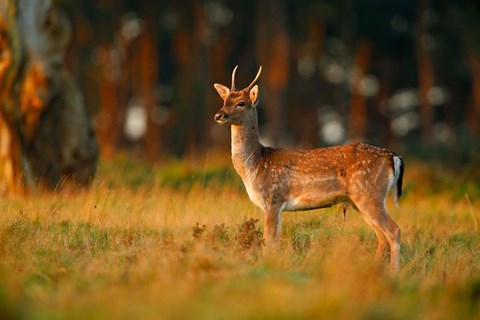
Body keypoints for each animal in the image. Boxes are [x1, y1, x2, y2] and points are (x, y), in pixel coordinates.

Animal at [214, 66, 404, 272]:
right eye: (224, 100)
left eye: (241, 103)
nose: (218, 115)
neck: (255, 165)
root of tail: (393, 157)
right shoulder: (277, 206)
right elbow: (275, 242)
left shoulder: (273, 199)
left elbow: (268, 243)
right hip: (360, 200)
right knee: (382, 237)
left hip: (369, 194)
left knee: (394, 230)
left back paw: (393, 273)